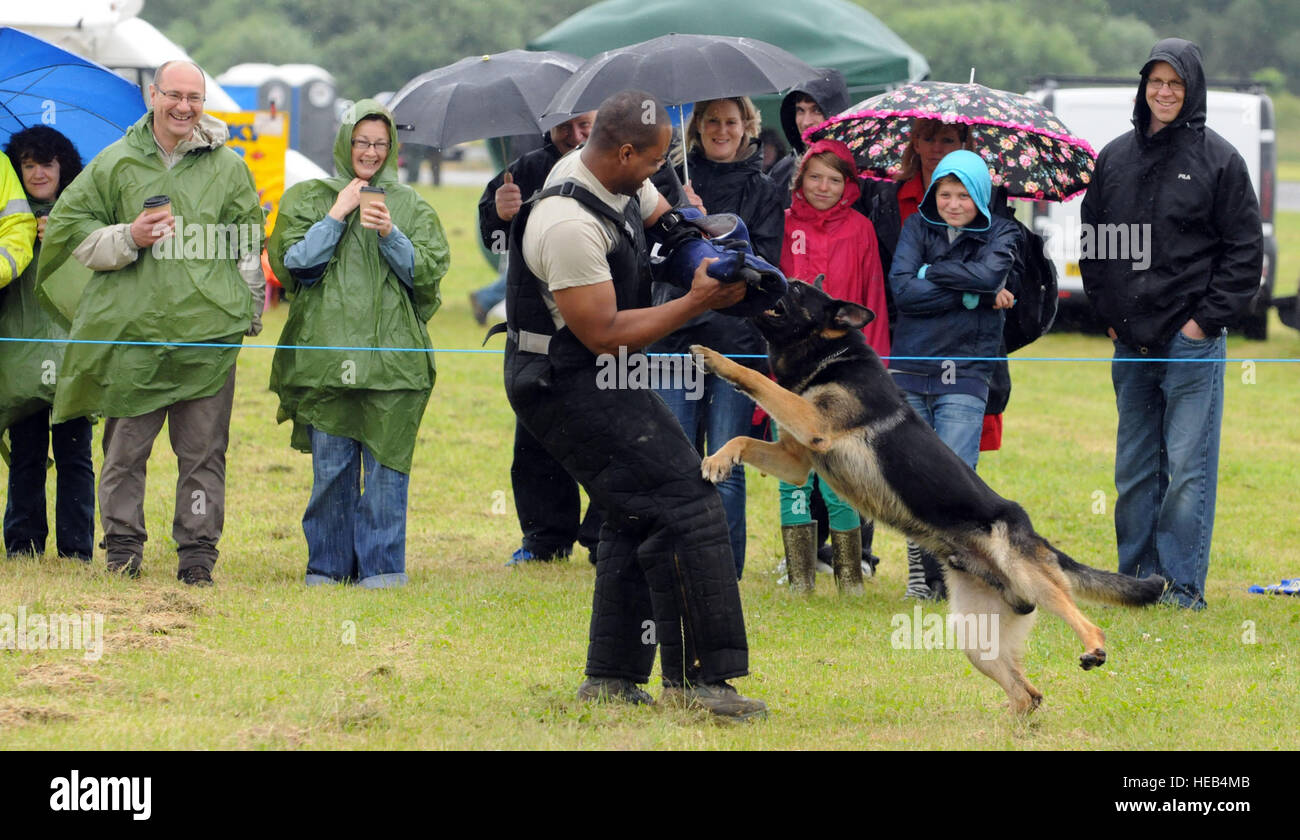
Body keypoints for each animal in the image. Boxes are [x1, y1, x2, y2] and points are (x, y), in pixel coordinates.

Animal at [691, 279, 1170, 712]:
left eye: (792, 289)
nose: (757, 277)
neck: (830, 356)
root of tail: (1033, 537)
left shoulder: (813, 423)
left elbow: (757, 378)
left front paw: (715, 359)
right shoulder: (795, 459)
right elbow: (742, 438)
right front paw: (717, 460)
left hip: (1027, 573)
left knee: (1085, 624)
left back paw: (1094, 648)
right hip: (976, 640)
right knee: (1028, 695)